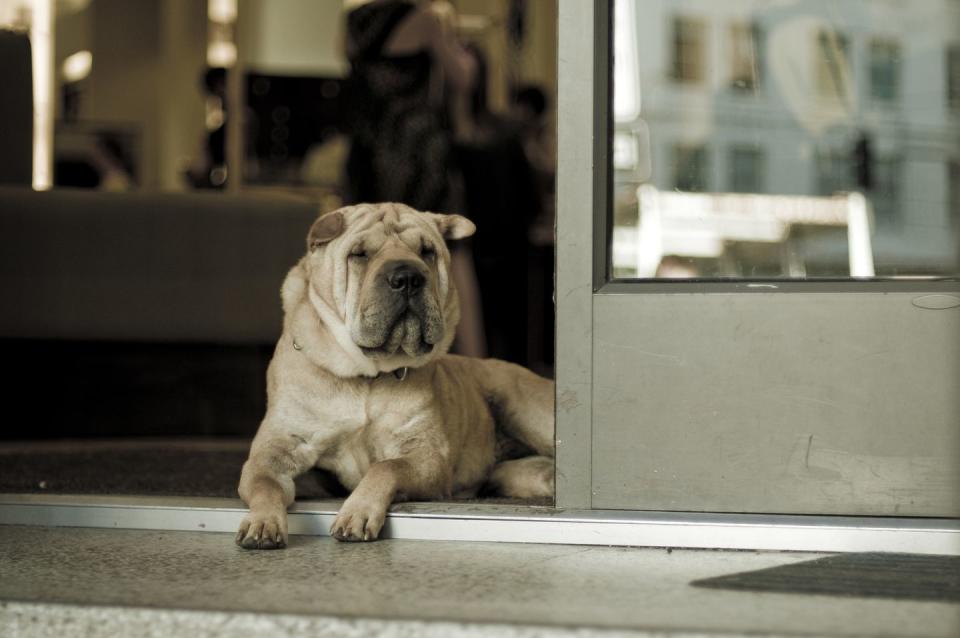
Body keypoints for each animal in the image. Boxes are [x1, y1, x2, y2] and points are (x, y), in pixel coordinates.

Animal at [236, 201, 556, 552]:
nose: (408, 276)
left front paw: (358, 512)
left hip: (527, 410)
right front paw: (263, 522)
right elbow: (266, 483)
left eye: (427, 251)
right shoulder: (276, 450)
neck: (366, 375)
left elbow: (386, 467)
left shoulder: (426, 458)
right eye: (359, 254)